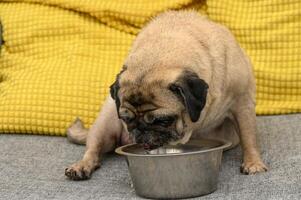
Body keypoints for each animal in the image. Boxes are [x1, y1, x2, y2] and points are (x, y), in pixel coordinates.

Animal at [64, 10, 266, 180]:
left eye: (163, 120)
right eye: (127, 120)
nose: (141, 130)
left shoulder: (242, 103)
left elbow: (249, 137)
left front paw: (253, 163)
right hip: (105, 123)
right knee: (93, 149)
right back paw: (81, 166)